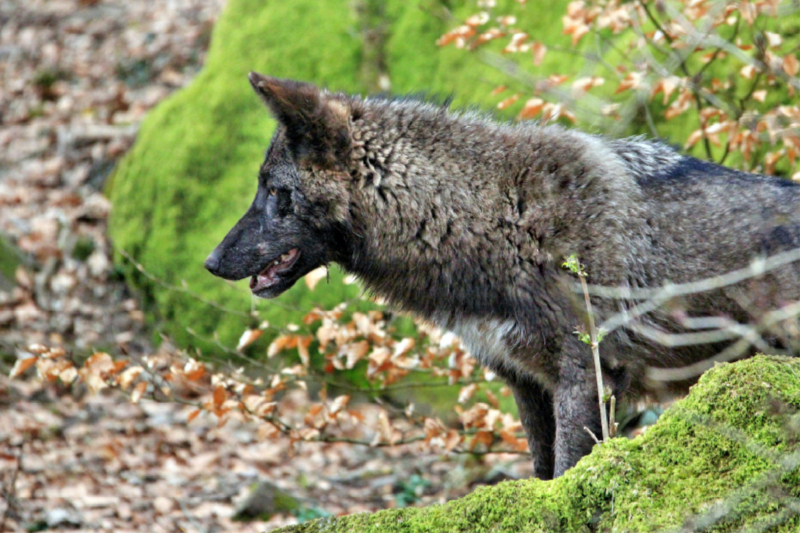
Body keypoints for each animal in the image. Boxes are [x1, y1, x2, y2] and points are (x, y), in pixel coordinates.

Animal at [205, 74, 800, 478]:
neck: (491, 217)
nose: (210, 262)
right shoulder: (525, 382)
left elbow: (567, 472)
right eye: (262, 189)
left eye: (276, 194)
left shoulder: (586, 377)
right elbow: (541, 473)